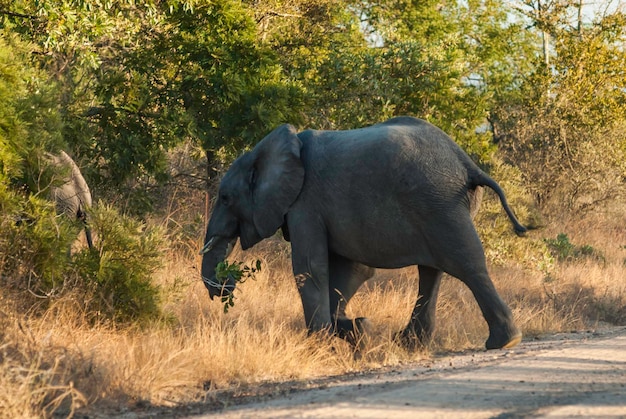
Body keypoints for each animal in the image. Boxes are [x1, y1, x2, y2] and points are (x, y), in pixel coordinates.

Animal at [200, 117, 528, 352]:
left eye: (226, 198)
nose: (227, 287)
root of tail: (468, 163)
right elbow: (353, 270)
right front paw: (357, 328)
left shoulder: (305, 203)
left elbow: (311, 269)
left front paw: (322, 346)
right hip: (442, 204)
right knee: (433, 270)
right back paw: (409, 345)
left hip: (439, 202)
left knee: (465, 264)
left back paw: (503, 342)